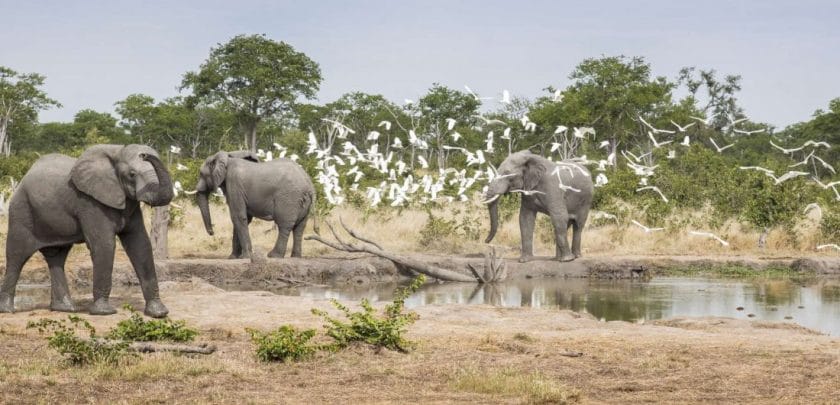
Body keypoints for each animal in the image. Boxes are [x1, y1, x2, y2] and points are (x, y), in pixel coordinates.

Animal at [0, 144, 172, 318]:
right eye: (132, 174)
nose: (145, 155)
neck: (116, 152)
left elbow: (140, 244)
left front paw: (159, 313)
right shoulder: (90, 202)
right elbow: (104, 245)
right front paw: (104, 312)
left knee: (56, 257)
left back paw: (65, 308)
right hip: (21, 210)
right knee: (17, 256)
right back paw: (7, 310)